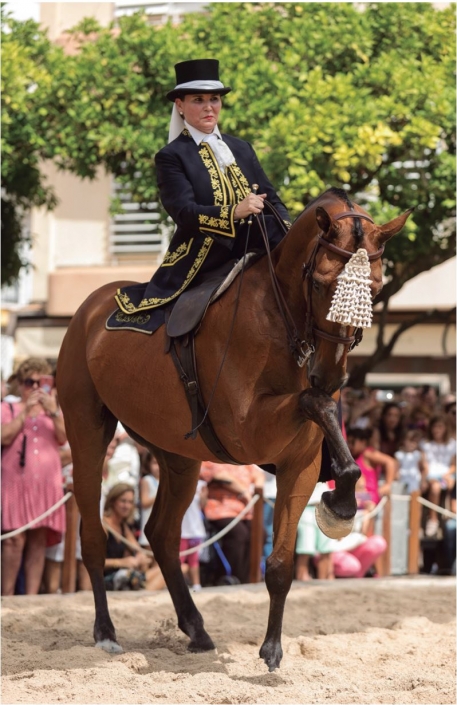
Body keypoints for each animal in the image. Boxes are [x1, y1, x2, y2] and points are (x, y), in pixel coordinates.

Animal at [56, 187, 410, 672]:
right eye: (320, 283)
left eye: (372, 289)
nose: (330, 375)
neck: (279, 320)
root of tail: (89, 309)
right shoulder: (248, 434)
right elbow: (315, 404)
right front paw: (340, 503)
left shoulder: (297, 462)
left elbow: (281, 563)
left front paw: (272, 648)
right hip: (87, 431)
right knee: (93, 535)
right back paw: (106, 632)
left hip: (178, 457)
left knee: (161, 534)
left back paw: (196, 628)